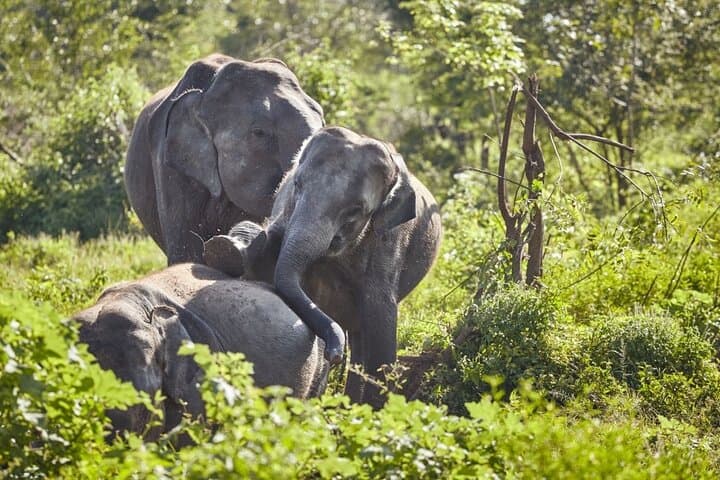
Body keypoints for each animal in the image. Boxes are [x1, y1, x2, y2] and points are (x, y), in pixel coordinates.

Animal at [203, 126, 442, 406]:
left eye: (355, 210)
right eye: (297, 184)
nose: (334, 354)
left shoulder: (388, 241)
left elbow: (381, 317)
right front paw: (228, 248)